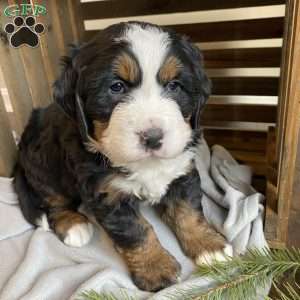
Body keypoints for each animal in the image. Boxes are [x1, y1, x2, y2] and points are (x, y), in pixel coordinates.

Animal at [14, 22, 231, 292]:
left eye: (174, 86)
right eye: (116, 87)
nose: (152, 137)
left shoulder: (181, 170)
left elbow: (188, 211)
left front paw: (209, 246)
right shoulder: (108, 193)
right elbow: (136, 231)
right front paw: (156, 268)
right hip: (45, 166)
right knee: (54, 203)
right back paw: (74, 225)